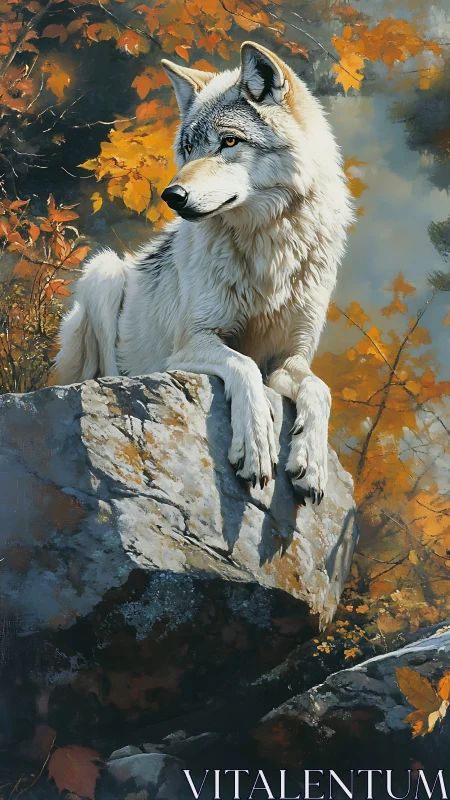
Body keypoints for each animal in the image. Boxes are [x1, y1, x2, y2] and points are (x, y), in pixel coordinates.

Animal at [56, 41, 353, 503]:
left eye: (228, 141)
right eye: (188, 149)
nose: (172, 195)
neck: (268, 249)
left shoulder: (290, 357)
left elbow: (319, 389)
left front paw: (312, 463)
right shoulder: (192, 342)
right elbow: (244, 368)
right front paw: (256, 446)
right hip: (103, 273)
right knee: (107, 375)